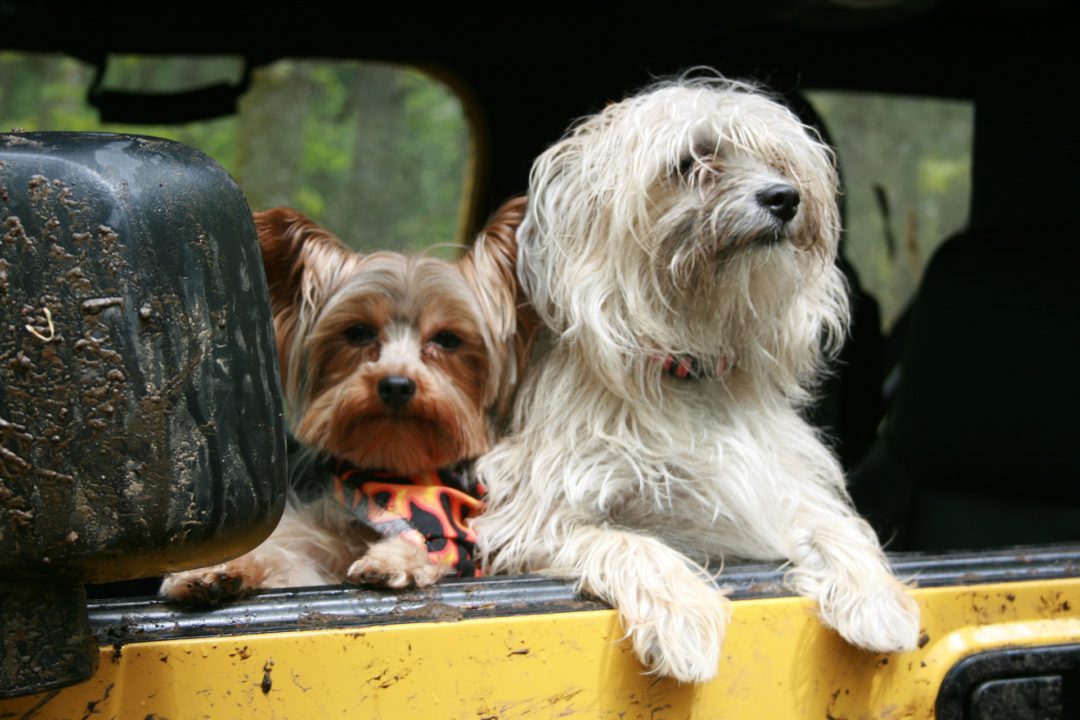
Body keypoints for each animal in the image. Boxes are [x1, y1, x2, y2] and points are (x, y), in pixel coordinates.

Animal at [473, 76, 920, 686]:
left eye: (779, 161)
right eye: (692, 162)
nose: (785, 197)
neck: (694, 367)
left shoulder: (772, 492)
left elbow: (835, 525)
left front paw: (878, 600)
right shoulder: (534, 517)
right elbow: (631, 542)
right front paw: (682, 616)